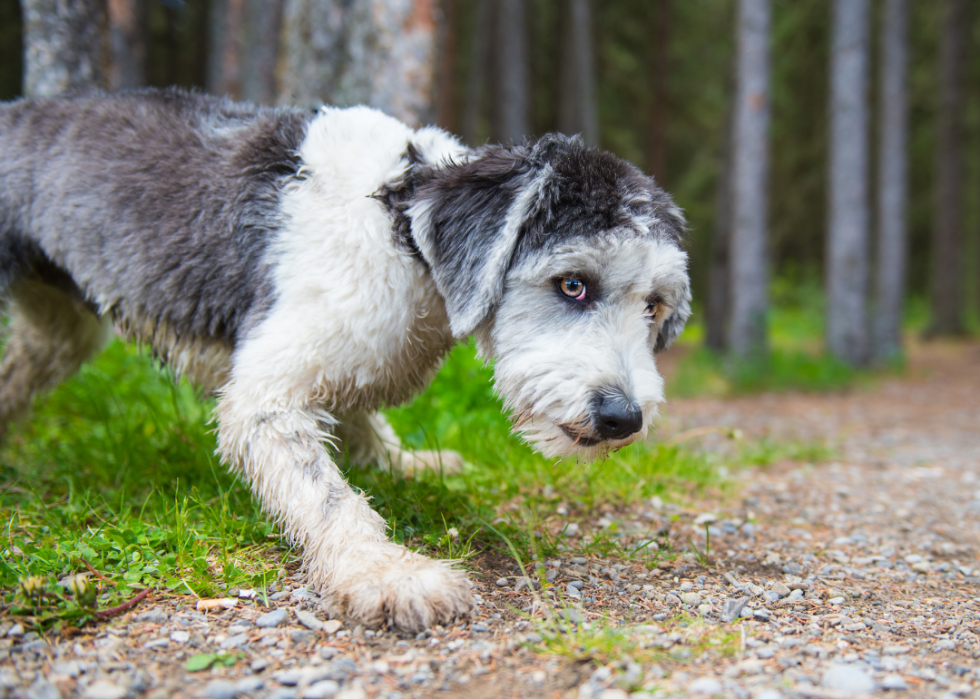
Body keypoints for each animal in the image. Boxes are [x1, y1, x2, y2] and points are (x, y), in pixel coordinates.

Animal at [0, 89, 688, 636]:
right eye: (573, 284)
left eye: (653, 305)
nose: (625, 418)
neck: (403, 234)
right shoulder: (264, 397)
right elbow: (328, 495)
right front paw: (388, 574)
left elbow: (356, 421)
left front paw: (404, 462)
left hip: (57, 330)